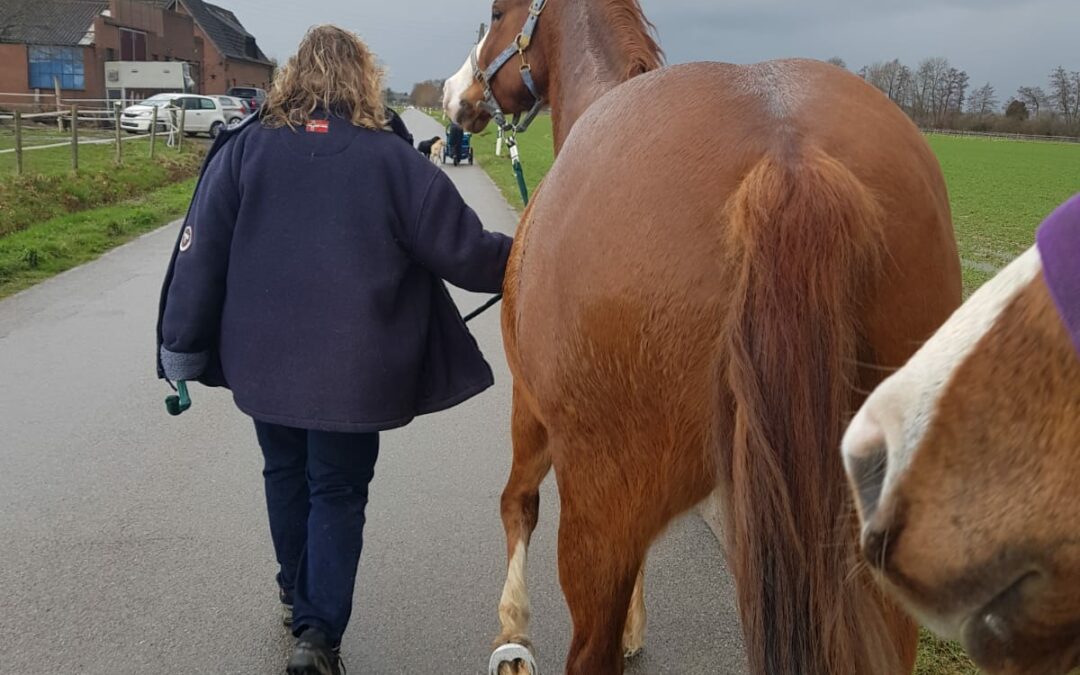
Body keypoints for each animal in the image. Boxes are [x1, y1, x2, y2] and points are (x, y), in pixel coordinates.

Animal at [442, 2, 967, 669]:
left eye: (494, 12)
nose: (457, 96)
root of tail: (788, 153)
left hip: (598, 511)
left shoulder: (529, 410)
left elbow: (518, 505)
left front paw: (512, 637)